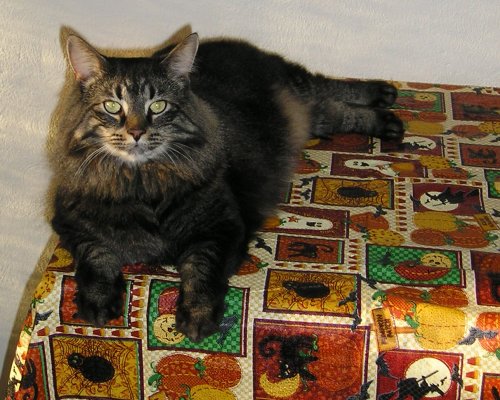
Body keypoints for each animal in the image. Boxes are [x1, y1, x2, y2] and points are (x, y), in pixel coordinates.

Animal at [49, 28, 402, 340]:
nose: (136, 132)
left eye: (158, 106)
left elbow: (200, 271)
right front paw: (97, 303)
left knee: (333, 91)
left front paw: (197, 316)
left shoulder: (222, 227)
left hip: (302, 93)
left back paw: (385, 106)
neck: (143, 182)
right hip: (310, 114)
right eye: (112, 106)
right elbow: (98, 256)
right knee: (332, 105)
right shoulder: (69, 224)